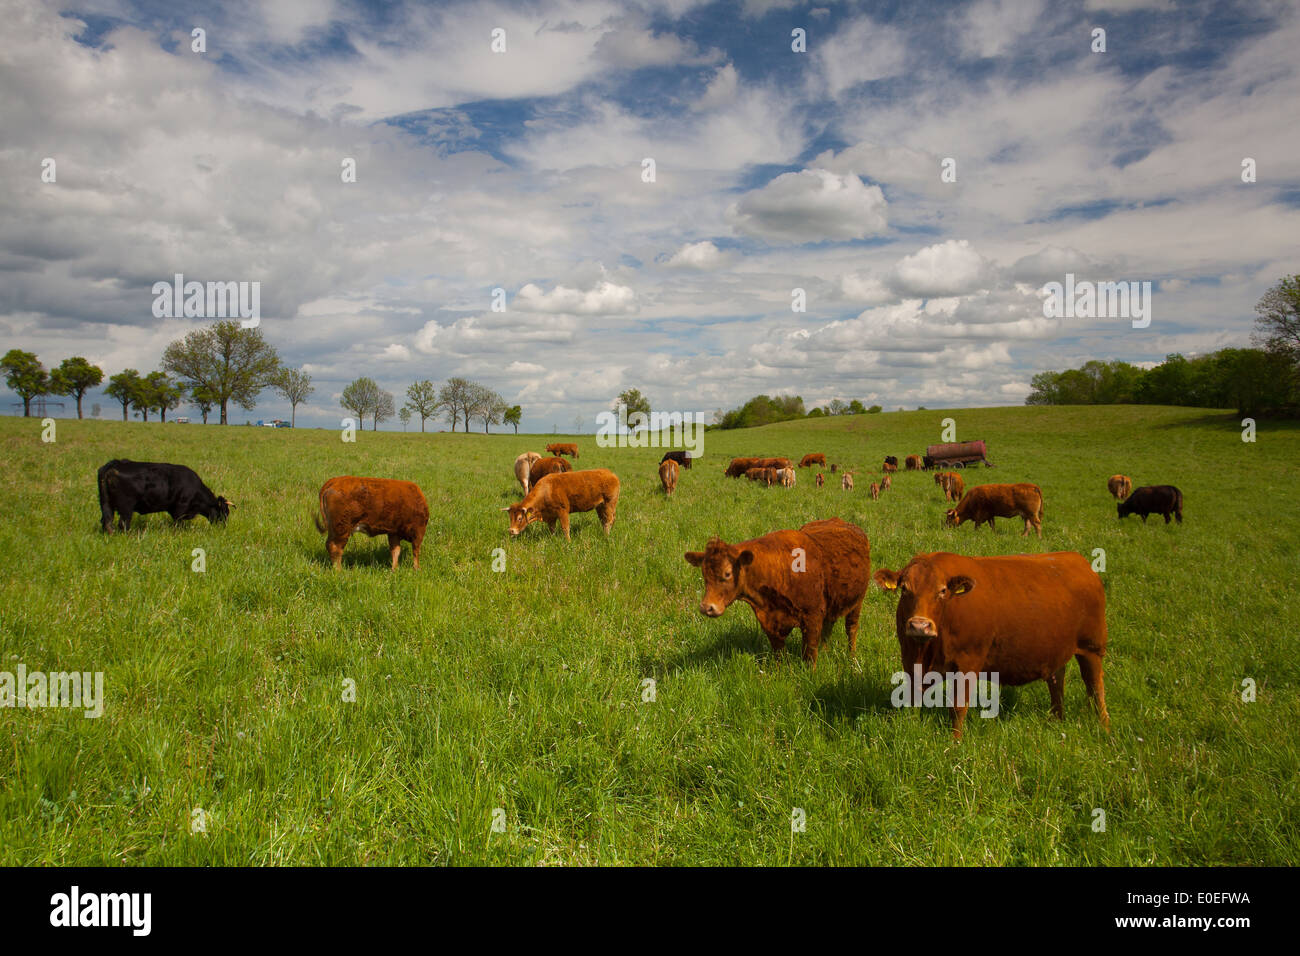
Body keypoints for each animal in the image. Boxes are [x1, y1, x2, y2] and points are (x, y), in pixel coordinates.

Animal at [97, 459, 232, 533]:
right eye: (224, 512)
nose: (223, 527)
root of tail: (115, 464)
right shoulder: (180, 509)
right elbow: (178, 524)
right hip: (126, 508)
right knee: (123, 524)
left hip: (106, 504)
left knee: (107, 522)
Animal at [684, 517, 871, 668]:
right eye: (704, 574)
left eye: (728, 573)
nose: (707, 607)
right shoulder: (770, 623)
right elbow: (780, 656)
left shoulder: (812, 618)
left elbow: (809, 654)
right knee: (828, 629)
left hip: (857, 602)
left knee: (851, 629)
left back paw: (852, 657)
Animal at [873, 551, 1108, 739]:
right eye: (905, 589)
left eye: (942, 591)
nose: (919, 626)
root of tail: (1079, 561)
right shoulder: (910, 660)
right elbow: (913, 699)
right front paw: (910, 728)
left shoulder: (967, 663)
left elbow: (958, 707)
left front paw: (955, 742)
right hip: (1056, 650)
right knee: (1057, 682)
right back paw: (1057, 719)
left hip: (1092, 648)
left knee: (1095, 686)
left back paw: (1103, 726)